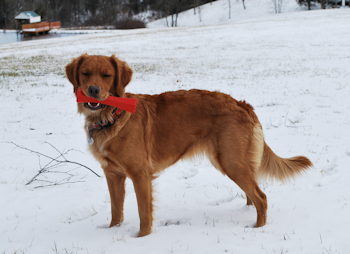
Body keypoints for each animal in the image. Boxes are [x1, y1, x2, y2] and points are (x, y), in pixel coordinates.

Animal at [65, 54, 312, 238]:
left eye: (107, 75)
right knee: (253, 192)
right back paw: (246, 212)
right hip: (230, 161)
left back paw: (257, 229)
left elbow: (144, 213)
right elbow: (116, 211)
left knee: (262, 197)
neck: (111, 117)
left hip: (230, 161)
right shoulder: (112, 174)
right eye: (85, 73)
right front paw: (112, 233)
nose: (93, 90)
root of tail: (242, 105)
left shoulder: (140, 174)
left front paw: (142, 239)